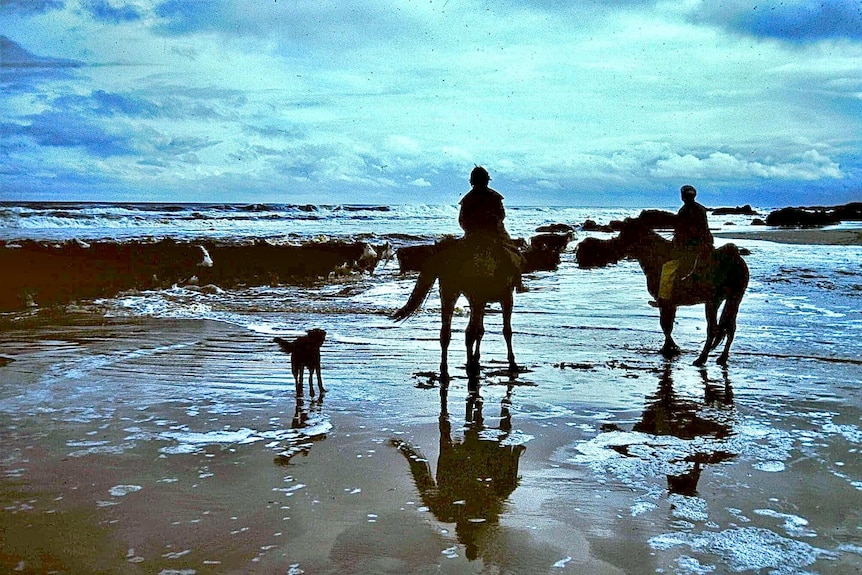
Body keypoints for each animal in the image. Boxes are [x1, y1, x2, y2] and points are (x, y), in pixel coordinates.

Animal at [394, 236, 528, 380]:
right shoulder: (505, 298)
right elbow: (505, 330)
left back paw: (447, 371)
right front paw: (512, 364)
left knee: (447, 332)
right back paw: (470, 366)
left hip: (449, 291)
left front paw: (477, 358)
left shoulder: (481, 300)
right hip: (473, 294)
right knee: (469, 331)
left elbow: (481, 330)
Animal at [576, 218, 752, 366]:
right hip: (734, 298)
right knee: (730, 327)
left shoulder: (666, 302)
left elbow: (665, 325)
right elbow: (667, 326)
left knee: (713, 329)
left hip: (713, 301)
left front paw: (670, 348)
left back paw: (701, 359)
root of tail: (736, 260)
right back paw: (722, 358)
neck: (657, 258)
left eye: (624, 236)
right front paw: (670, 348)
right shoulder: (669, 304)